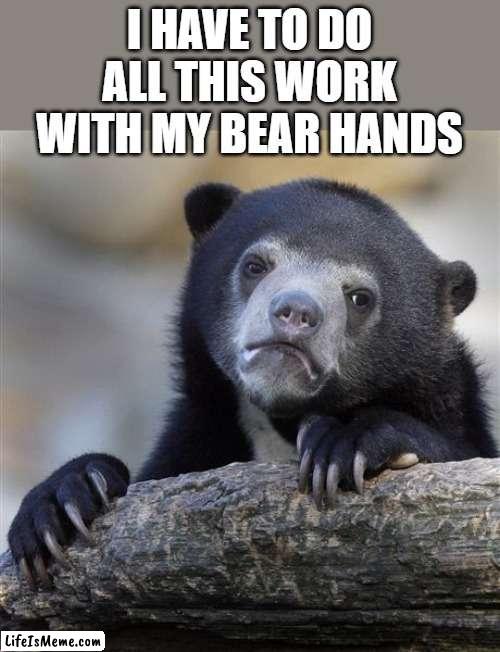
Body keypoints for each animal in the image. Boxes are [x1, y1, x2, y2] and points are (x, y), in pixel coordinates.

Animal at [8, 178, 497, 587]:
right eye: (256, 265)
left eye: (359, 297)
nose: (296, 313)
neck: (279, 422)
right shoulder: (202, 432)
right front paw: (62, 503)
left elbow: (458, 448)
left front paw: (343, 442)